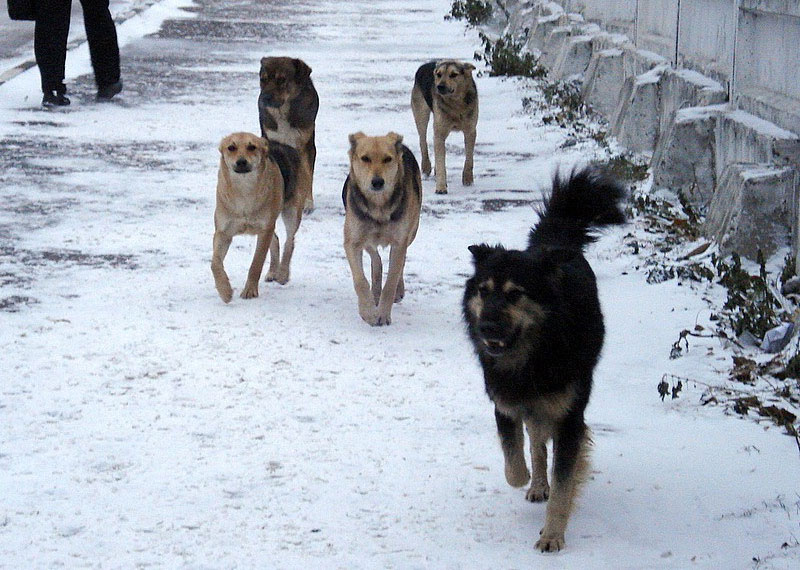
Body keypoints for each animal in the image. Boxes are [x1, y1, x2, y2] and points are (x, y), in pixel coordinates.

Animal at [209, 134, 310, 302]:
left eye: (252, 147)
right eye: (231, 147)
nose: (241, 162)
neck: (244, 191)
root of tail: (285, 145)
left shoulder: (264, 230)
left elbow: (256, 263)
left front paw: (250, 290)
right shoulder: (223, 232)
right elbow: (215, 263)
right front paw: (225, 291)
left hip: (292, 212)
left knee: (289, 242)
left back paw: (282, 274)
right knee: (276, 239)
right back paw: (273, 272)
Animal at [258, 56, 318, 212]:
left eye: (282, 80)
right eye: (263, 79)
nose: (264, 97)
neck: (282, 111)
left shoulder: (305, 146)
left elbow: (307, 175)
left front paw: (307, 202)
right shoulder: (270, 139)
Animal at [340, 130, 422, 324]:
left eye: (387, 159)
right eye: (365, 158)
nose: (377, 182)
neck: (378, 206)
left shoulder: (400, 241)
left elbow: (391, 281)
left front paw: (383, 314)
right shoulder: (352, 241)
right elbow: (360, 281)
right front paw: (368, 311)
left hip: (412, 231)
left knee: (399, 263)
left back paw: (398, 290)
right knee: (375, 258)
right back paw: (375, 292)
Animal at [410, 59, 478, 193]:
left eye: (454, 74)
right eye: (439, 74)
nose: (440, 87)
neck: (456, 105)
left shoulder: (471, 130)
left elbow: (469, 157)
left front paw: (468, 179)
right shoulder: (440, 131)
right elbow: (441, 161)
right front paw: (441, 187)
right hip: (421, 113)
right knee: (423, 140)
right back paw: (426, 167)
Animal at [462, 168, 624, 552]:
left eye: (514, 295)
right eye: (483, 291)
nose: (486, 326)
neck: (532, 355)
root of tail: (552, 243)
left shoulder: (568, 417)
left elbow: (564, 482)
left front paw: (552, 535)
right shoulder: (506, 404)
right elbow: (514, 460)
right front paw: (526, 480)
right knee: (535, 443)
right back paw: (537, 484)